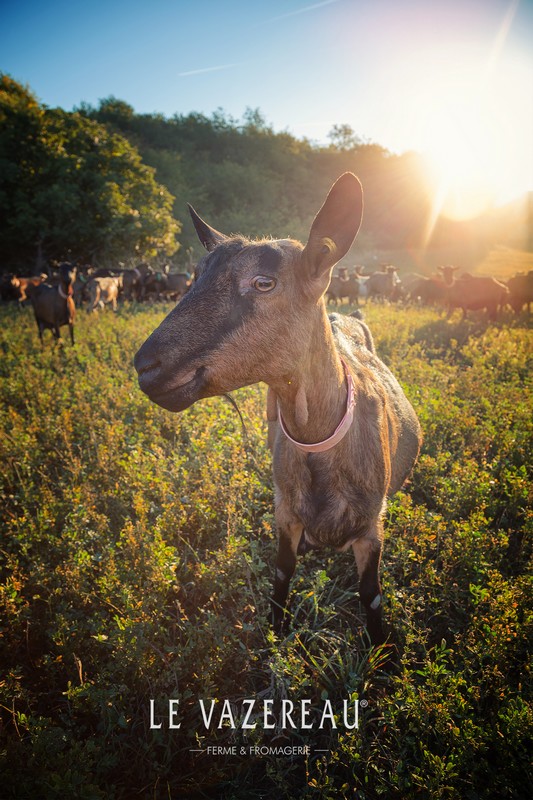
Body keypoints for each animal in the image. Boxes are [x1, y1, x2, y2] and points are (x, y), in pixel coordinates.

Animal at [135, 173, 422, 644]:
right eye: (194, 276)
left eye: (264, 282)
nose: (145, 366)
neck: (320, 439)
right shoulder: (285, 515)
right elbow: (282, 577)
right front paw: (274, 634)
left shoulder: (371, 530)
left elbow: (372, 595)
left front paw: (379, 648)